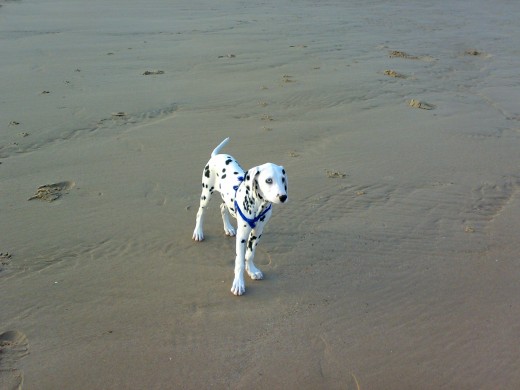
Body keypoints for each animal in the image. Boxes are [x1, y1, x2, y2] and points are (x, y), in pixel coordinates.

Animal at [192, 138, 288, 296]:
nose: (283, 197)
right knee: (201, 212)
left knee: (223, 208)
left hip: (226, 199)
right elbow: (239, 261)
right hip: (206, 193)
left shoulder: (257, 232)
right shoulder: (242, 234)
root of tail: (216, 156)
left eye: (283, 179)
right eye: (268, 180)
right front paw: (238, 283)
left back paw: (228, 228)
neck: (258, 205)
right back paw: (198, 232)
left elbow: (250, 254)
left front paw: (252, 270)